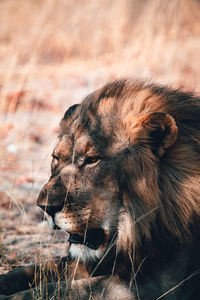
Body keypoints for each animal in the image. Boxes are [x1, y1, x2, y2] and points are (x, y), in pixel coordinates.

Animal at [0, 78, 200, 298]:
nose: (45, 207)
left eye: (92, 160)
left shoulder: (158, 285)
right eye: (56, 158)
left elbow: (61, 289)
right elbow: (34, 270)